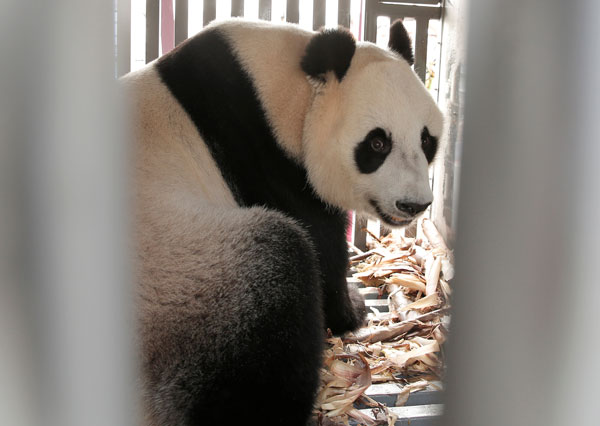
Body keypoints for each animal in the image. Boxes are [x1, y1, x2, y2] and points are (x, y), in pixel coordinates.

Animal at [122, 16, 442, 426]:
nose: (413, 204)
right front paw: (353, 310)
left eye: (427, 140)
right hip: (182, 275)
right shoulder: (266, 161)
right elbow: (322, 248)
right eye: (376, 144)